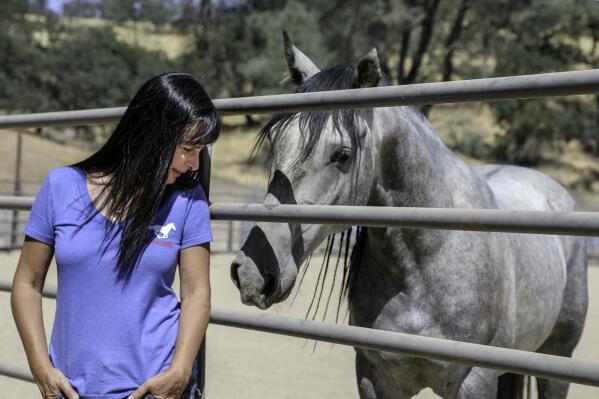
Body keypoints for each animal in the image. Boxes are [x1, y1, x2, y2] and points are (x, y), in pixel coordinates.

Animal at [230, 32, 592, 398]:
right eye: (274, 140)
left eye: (342, 154)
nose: (251, 272)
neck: (426, 257)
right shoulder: (375, 376)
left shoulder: (475, 380)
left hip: (556, 356)